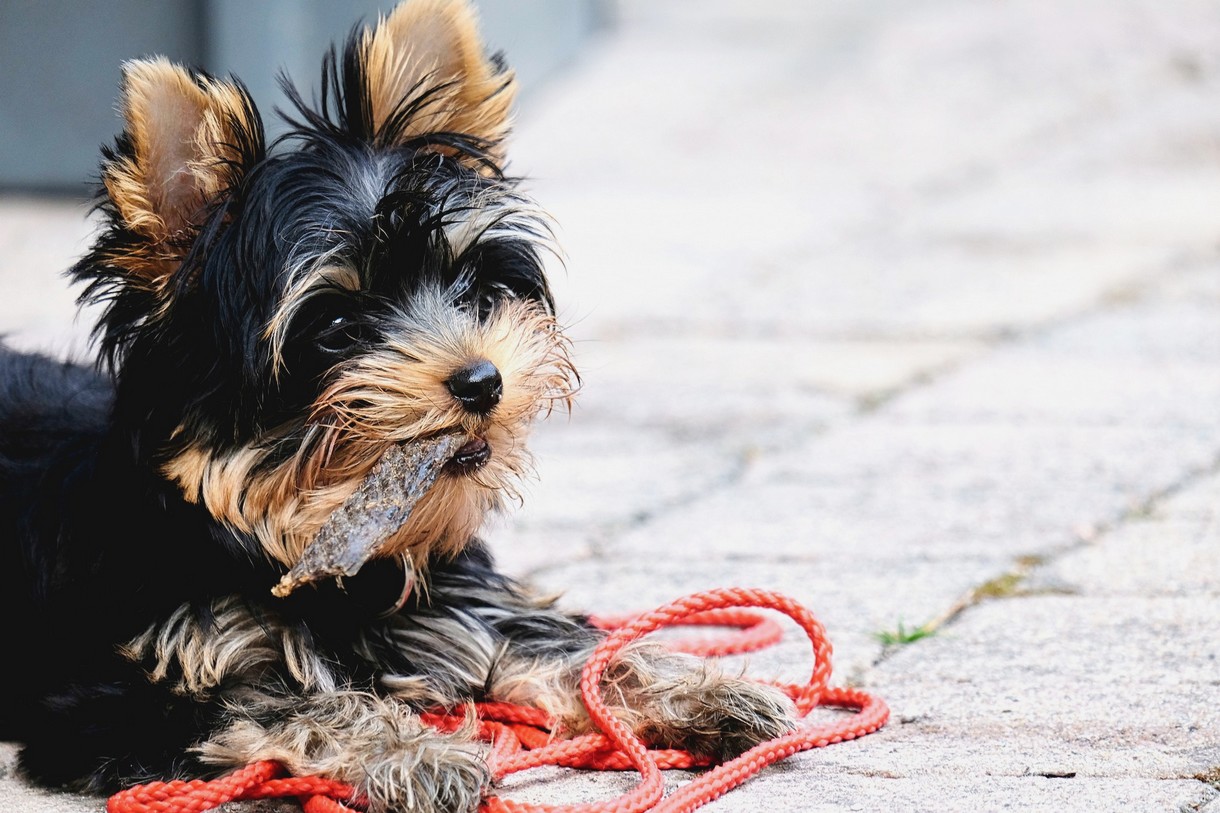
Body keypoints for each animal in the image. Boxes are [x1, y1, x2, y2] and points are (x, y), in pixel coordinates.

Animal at [0, 1, 795, 810]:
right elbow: (289, 700)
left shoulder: (454, 604)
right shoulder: (123, 694)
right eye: (336, 326)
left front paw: (699, 690)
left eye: (471, 284)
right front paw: (413, 751)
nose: (482, 380)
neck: (310, 544)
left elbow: (565, 645)